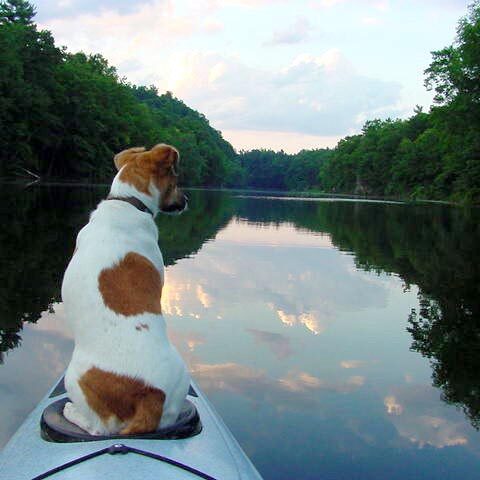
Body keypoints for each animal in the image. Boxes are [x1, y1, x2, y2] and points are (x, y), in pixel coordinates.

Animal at [59, 142, 188, 436]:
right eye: (176, 180)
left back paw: (72, 413)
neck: (127, 201)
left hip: (75, 377)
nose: (186, 200)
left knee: (99, 428)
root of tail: (152, 395)